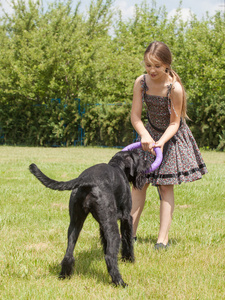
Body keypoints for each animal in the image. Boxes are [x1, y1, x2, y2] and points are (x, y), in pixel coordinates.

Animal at [28, 150, 151, 286]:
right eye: (141, 156)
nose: (148, 164)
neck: (118, 166)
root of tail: (86, 179)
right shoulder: (127, 218)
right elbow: (127, 240)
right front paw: (129, 260)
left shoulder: (103, 224)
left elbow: (105, 241)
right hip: (112, 227)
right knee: (109, 256)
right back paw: (120, 282)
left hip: (75, 223)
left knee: (68, 253)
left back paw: (64, 276)